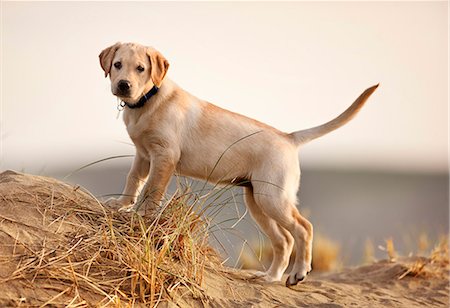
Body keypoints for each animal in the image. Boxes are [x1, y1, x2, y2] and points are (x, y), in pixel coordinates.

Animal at [100, 42, 378, 288]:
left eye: (140, 68)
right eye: (117, 65)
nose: (123, 85)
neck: (148, 100)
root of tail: (288, 137)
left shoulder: (164, 155)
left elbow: (152, 190)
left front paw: (141, 216)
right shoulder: (143, 154)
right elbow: (133, 180)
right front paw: (122, 205)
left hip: (272, 197)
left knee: (303, 228)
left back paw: (298, 273)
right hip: (257, 201)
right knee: (284, 240)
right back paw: (271, 277)